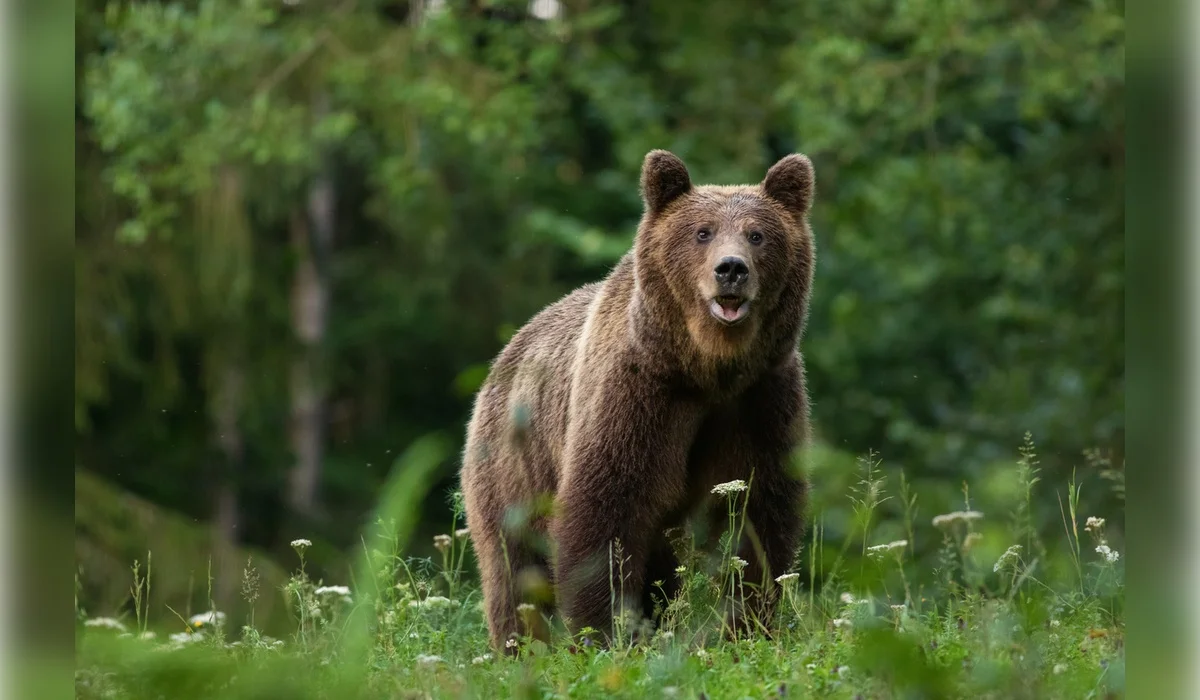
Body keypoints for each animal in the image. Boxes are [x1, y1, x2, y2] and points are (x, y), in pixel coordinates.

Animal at [460, 149, 815, 652]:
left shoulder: (761, 398)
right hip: (513, 465)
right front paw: (604, 632)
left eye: (757, 234)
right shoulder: (638, 394)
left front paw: (746, 626)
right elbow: (606, 508)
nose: (731, 269)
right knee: (515, 567)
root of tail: (505, 354)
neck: (706, 368)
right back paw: (521, 645)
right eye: (702, 231)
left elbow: (760, 512)